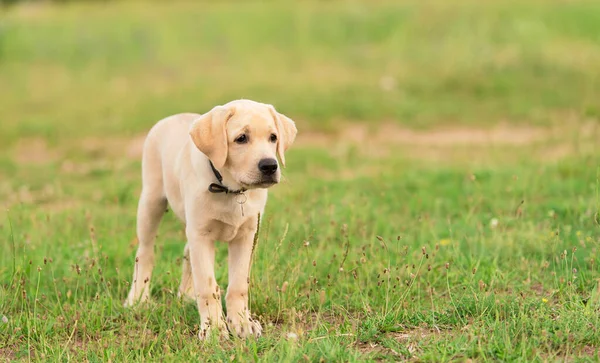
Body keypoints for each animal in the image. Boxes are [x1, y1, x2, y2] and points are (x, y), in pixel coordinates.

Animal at [124, 98, 298, 340]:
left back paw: (185, 294)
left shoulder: (246, 235)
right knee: (145, 253)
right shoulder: (201, 235)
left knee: (187, 253)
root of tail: (175, 116)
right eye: (241, 138)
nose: (270, 166)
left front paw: (242, 322)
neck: (230, 189)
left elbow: (238, 285)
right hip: (151, 201)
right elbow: (207, 286)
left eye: (273, 137)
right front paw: (214, 328)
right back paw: (138, 298)